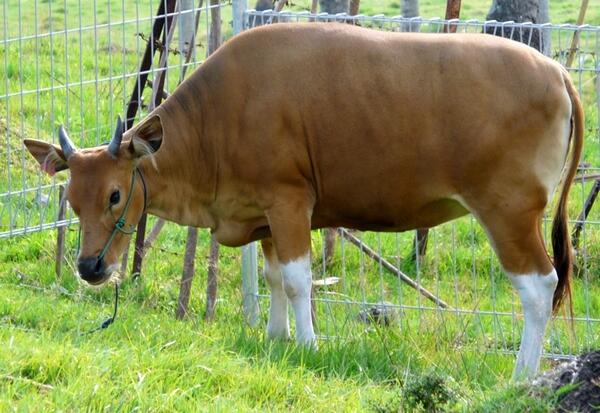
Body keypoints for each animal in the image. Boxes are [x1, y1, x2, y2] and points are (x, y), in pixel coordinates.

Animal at [23, 23, 580, 380]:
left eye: (116, 195)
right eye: (72, 201)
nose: (90, 266)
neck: (219, 119)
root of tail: (555, 72)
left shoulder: (289, 202)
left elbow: (297, 280)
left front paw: (309, 344)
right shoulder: (265, 215)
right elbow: (272, 278)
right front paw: (277, 337)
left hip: (509, 210)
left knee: (539, 286)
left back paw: (522, 375)